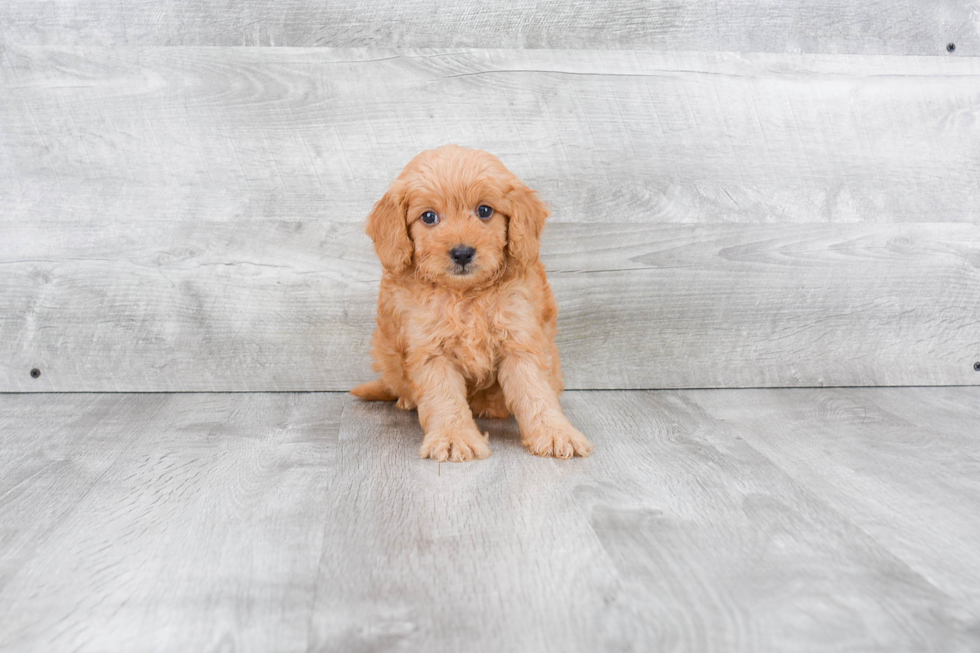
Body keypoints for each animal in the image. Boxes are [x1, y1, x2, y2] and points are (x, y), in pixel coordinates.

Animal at [354, 145, 592, 460]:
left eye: (484, 211)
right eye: (428, 217)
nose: (463, 253)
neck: (466, 295)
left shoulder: (520, 338)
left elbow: (535, 391)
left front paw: (556, 433)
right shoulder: (431, 349)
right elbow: (444, 398)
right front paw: (454, 437)